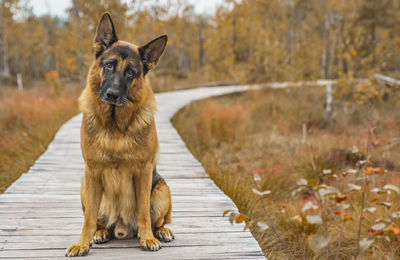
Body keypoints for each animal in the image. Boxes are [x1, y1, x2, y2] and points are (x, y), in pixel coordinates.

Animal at [65, 11, 172, 256]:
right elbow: (88, 219)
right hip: (84, 185)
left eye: (130, 72)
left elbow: (143, 212)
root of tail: (122, 228)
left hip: (162, 189)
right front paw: (82, 243)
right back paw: (100, 233)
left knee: (158, 220)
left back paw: (160, 231)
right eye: (109, 66)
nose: (112, 94)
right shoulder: (92, 171)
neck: (114, 127)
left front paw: (148, 238)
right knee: (98, 220)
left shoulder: (143, 172)